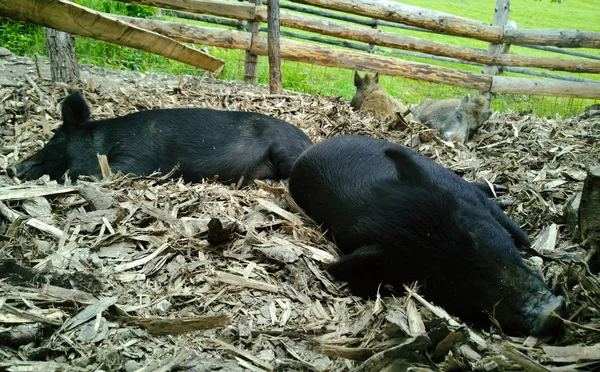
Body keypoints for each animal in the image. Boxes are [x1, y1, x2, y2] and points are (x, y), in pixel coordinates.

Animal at [9, 91, 314, 185]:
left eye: (54, 139)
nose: (12, 167)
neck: (104, 143)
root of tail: (310, 140)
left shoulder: (135, 160)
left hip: (285, 149)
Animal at [288, 135, 564, 336]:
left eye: (471, 234)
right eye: (438, 276)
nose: (549, 314)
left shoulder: (470, 197)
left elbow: (519, 234)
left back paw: (503, 191)